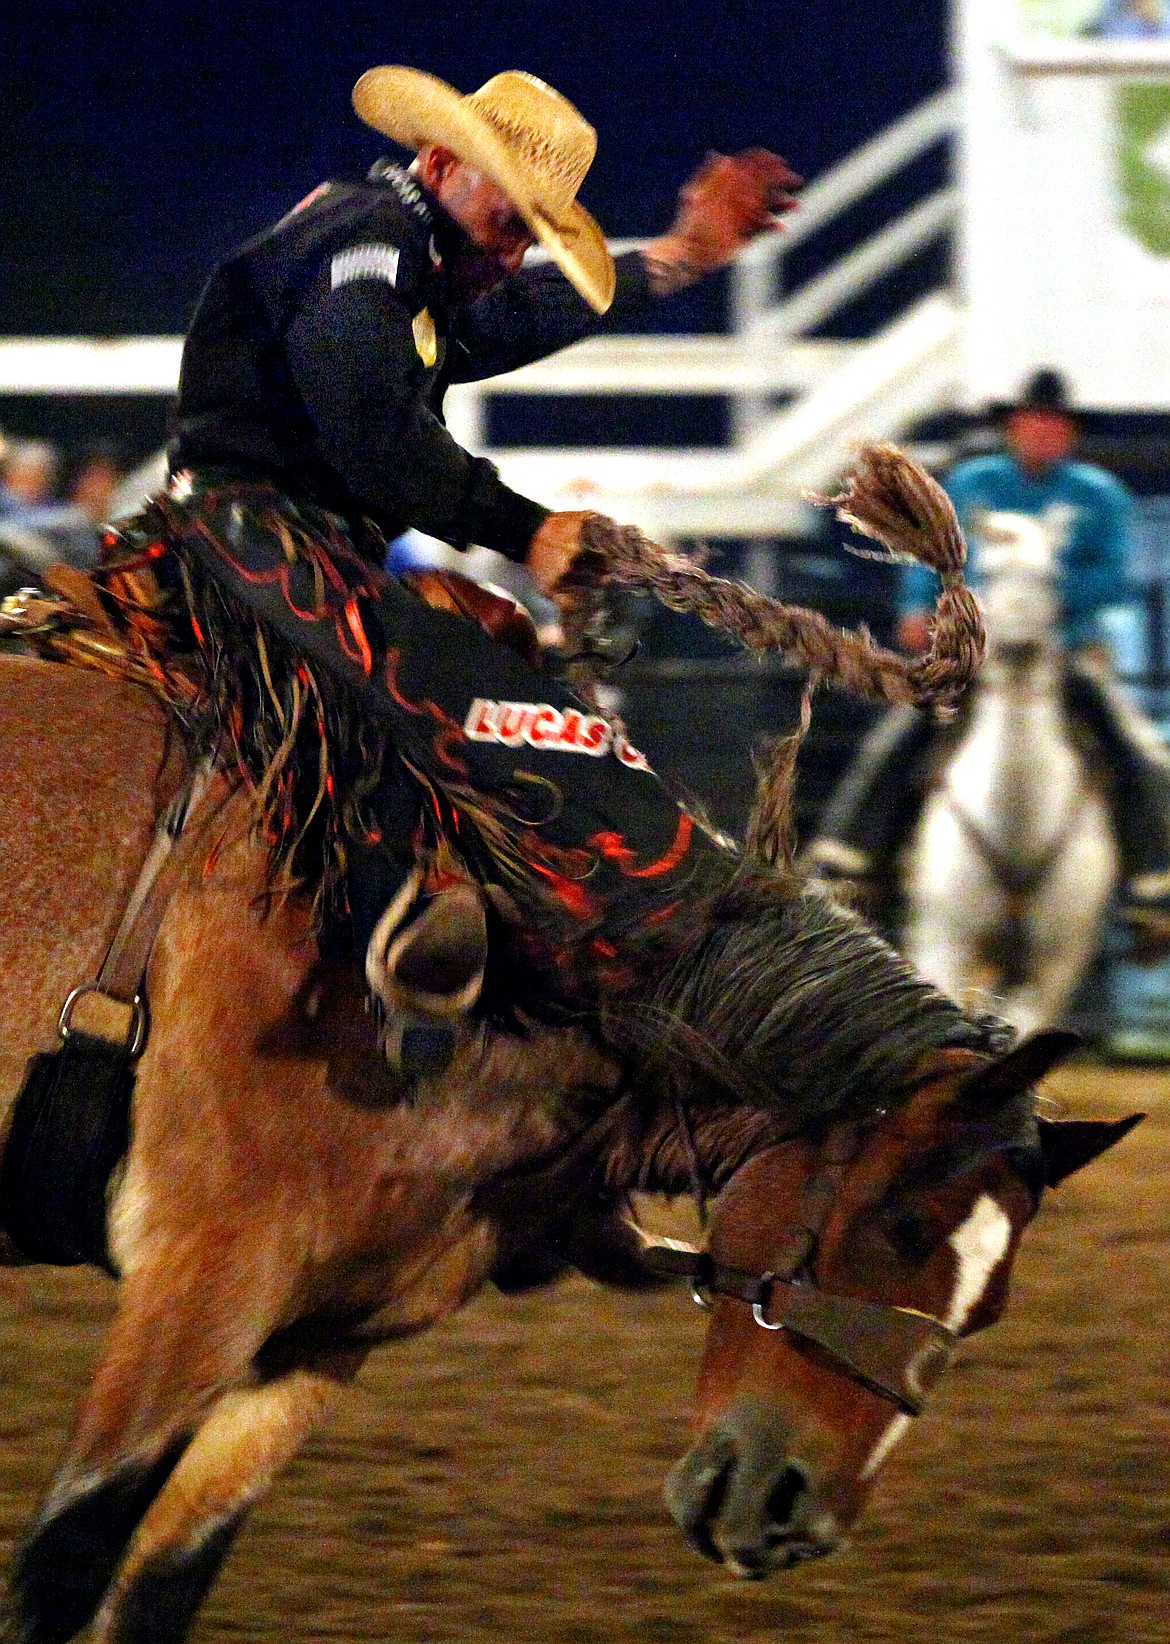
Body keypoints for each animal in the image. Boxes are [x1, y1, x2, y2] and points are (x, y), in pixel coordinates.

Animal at [900, 506, 1117, 1032]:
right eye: (990, 573)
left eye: (1050, 577)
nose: (1018, 650)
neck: (1017, 824)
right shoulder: (945, 944)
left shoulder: (1057, 963)